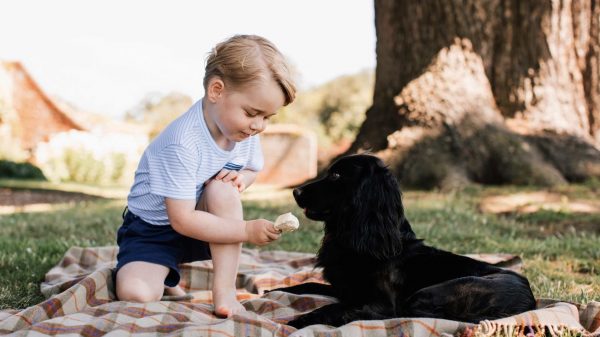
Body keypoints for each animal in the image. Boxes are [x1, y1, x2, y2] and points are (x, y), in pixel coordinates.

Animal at [274, 154, 536, 328]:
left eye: (336, 175)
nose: (295, 191)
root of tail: (530, 302)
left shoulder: (381, 302)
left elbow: (334, 307)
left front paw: (298, 321)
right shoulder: (345, 289)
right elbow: (304, 285)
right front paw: (274, 291)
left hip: (429, 293)